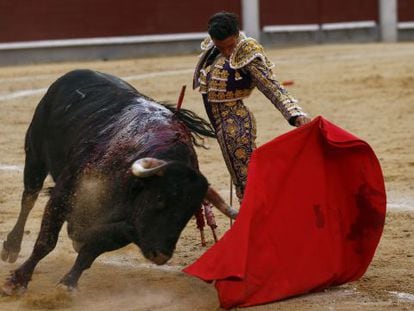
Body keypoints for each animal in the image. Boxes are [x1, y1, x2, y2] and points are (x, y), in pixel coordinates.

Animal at [1, 69, 238, 296]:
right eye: (159, 198)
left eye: (189, 213)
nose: (161, 255)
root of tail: (76, 72)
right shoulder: (64, 195)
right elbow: (46, 242)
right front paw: (17, 281)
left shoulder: (127, 229)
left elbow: (90, 251)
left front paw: (68, 284)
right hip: (35, 157)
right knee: (28, 198)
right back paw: (11, 246)